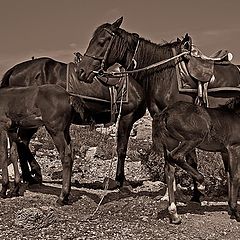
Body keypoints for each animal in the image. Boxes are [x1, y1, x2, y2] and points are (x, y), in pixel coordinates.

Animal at [0, 56, 146, 188]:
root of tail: (14, 70)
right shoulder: (126, 118)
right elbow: (122, 149)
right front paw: (122, 180)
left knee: (21, 142)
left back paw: (30, 176)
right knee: (22, 142)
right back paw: (31, 175)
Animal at [76, 17, 240, 214]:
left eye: (101, 42)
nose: (81, 71)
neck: (164, 75)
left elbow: (188, 158)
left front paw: (194, 193)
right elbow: (171, 158)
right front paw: (175, 196)